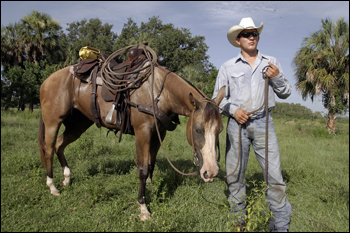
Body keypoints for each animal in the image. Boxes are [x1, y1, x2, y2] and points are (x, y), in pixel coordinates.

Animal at [37, 52, 224, 220]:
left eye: (220, 130)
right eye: (198, 130)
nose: (211, 172)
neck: (157, 91)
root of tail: (47, 80)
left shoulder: (159, 133)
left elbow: (151, 164)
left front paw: (149, 187)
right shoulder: (142, 132)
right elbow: (142, 169)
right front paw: (143, 208)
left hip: (78, 123)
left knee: (59, 145)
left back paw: (67, 179)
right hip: (53, 121)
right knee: (48, 148)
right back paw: (53, 187)